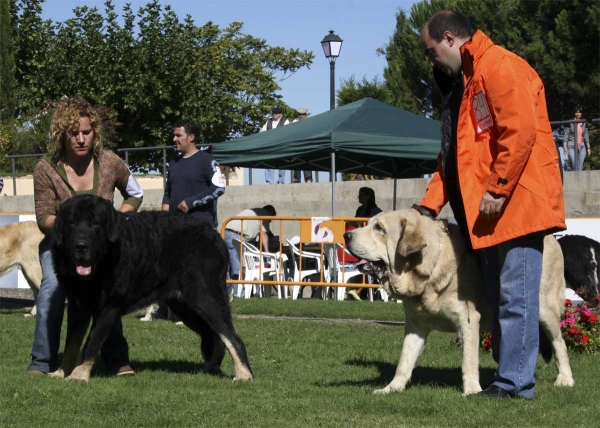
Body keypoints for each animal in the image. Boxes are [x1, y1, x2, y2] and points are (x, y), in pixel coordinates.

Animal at [48, 196, 252, 382]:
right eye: (72, 222)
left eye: (95, 223)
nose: (80, 246)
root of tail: (214, 234)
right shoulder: (76, 306)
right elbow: (71, 344)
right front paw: (60, 372)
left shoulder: (108, 309)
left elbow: (91, 343)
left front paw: (78, 375)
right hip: (185, 307)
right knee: (214, 335)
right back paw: (212, 367)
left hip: (205, 297)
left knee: (232, 337)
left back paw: (244, 375)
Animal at [344, 210, 576, 394]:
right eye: (369, 224)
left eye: (379, 228)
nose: (346, 235)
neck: (428, 269)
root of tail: (551, 237)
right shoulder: (415, 326)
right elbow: (404, 361)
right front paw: (392, 388)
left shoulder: (468, 321)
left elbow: (468, 361)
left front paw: (472, 390)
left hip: (544, 309)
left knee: (560, 343)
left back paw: (565, 379)